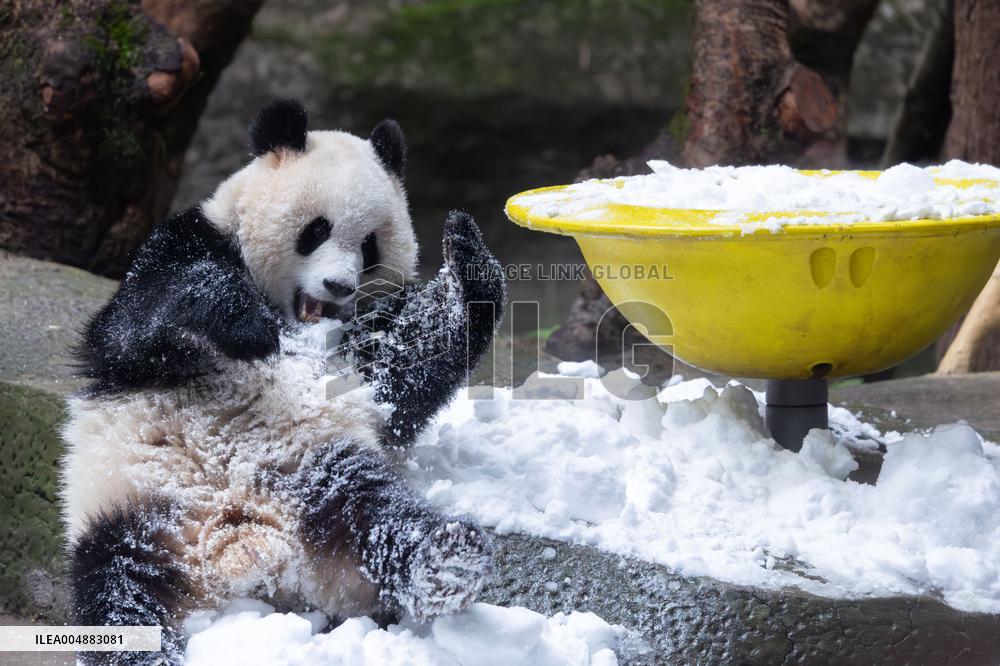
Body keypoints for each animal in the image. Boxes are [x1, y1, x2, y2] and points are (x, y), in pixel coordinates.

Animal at [60, 98, 507, 665]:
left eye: (369, 246)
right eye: (315, 230)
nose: (339, 286)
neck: (296, 321)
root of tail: (243, 545)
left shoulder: (362, 348)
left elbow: (406, 374)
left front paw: (468, 258)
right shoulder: (180, 250)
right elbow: (145, 320)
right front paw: (244, 326)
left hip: (317, 469)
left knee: (378, 515)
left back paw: (448, 561)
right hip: (133, 509)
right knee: (118, 591)